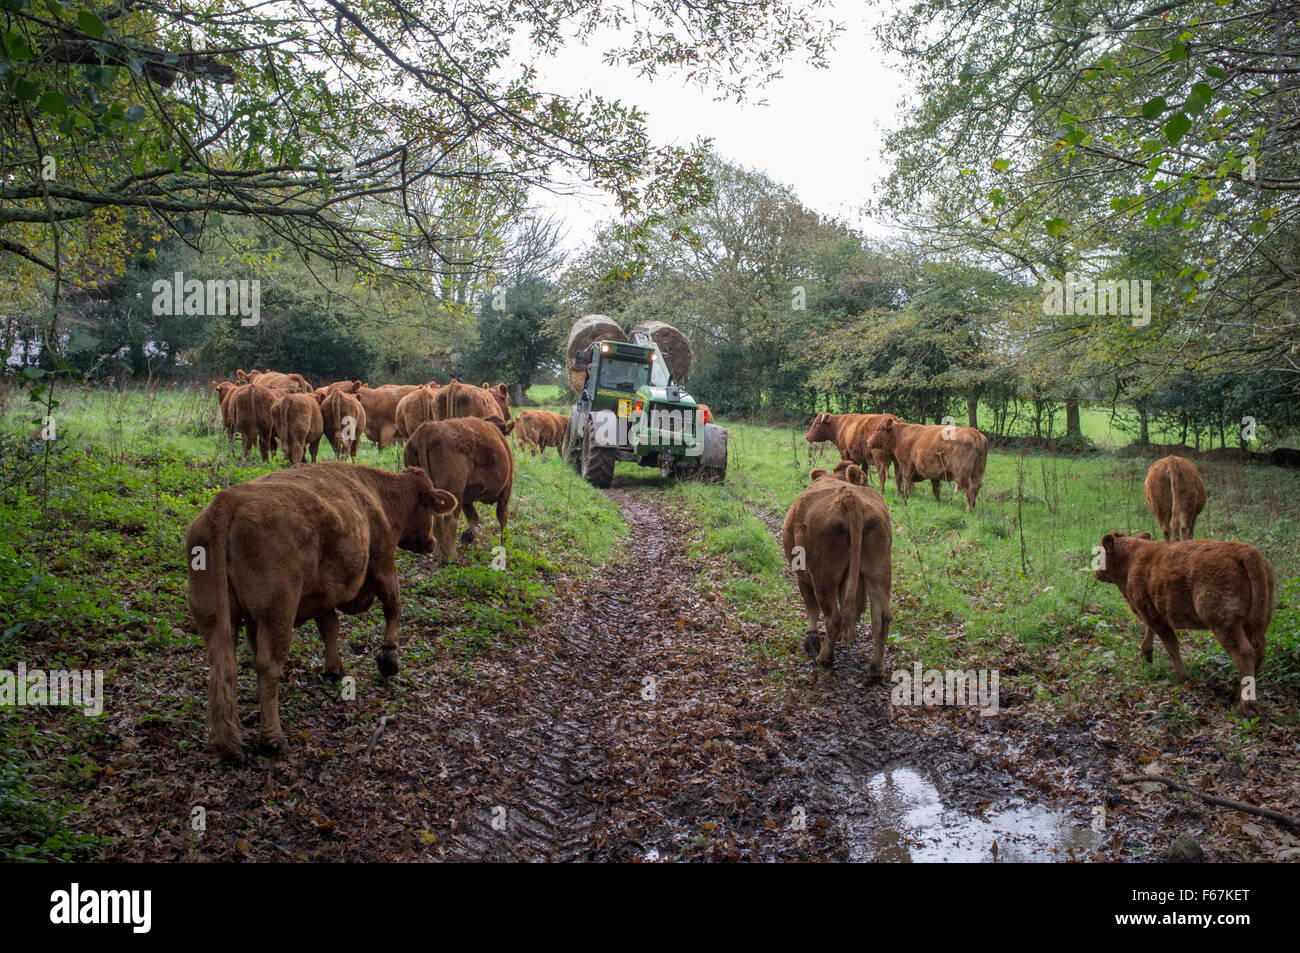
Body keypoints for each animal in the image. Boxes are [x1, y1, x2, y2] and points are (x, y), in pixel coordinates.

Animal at [185, 460, 460, 759]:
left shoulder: (323, 594)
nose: (431, 542)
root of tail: (227, 500)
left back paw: (224, 740)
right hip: (277, 612)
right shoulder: (383, 566)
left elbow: (329, 627)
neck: (376, 494)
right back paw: (273, 737)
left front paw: (334, 668)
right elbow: (393, 606)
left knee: (222, 663)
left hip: (213, 615)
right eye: (429, 508)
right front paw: (389, 659)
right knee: (268, 666)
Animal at [403, 413, 514, 561]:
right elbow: (502, 516)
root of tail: (427, 429)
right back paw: (451, 557)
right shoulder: (506, 488)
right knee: (449, 520)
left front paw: (468, 536)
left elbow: (473, 516)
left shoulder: (466, 496)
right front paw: (504, 544)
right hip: (454, 491)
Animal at [774, 465, 889, 670]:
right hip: (878, 572)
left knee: (833, 617)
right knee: (881, 617)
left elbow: (811, 606)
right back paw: (875, 669)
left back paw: (824, 657)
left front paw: (811, 637)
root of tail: (850, 498)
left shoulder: (802, 577)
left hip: (823, 576)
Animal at [1092, 527, 1274, 712]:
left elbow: (1171, 644)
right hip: (1257, 621)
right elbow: (1149, 633)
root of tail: (1246, 551)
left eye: (1100, 553)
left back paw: (1246, 705)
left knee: (1244, 653)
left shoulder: (1154, 614)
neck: (1131, 560)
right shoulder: (1148, 611)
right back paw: (1239, 694)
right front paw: (1145, 656)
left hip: (1224, 622)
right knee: (1259, 651)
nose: (1096, 572)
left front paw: (1183, 677)